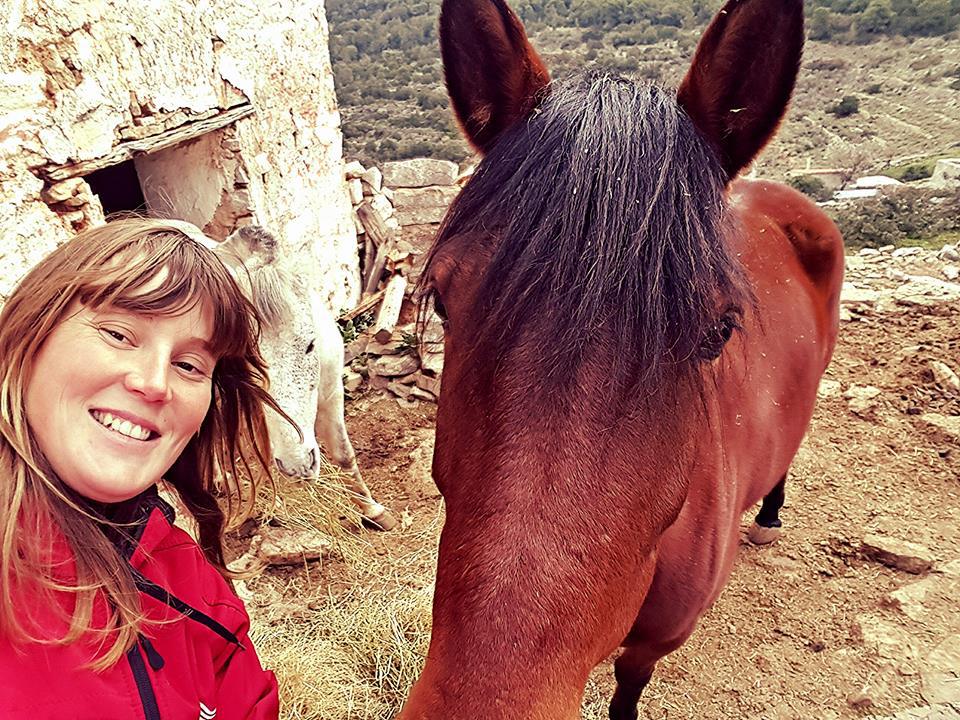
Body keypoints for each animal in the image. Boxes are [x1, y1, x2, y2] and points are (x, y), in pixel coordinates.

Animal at [216, 226, 396, 530]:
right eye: (244, 366)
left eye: (310, 345)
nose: (298, 466)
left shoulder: (332, 394)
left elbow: (344, 455)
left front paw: (374, 511)